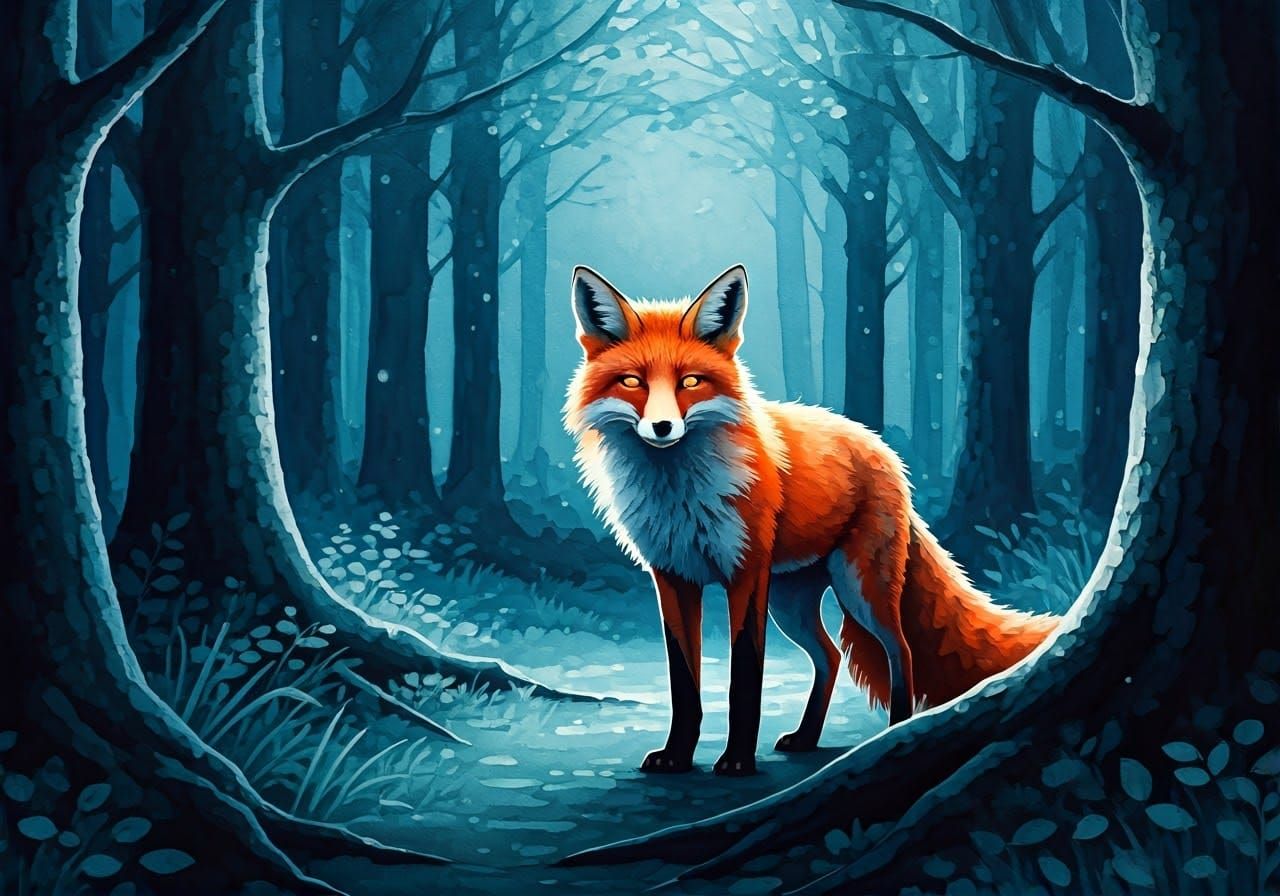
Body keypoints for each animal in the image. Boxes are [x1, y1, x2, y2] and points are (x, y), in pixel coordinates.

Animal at [564, 263, 1058, 776]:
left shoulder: (746, 574)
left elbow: (745, 677)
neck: (678, 493)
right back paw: (805, 737)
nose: (663, 428)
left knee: (899, 650)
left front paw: (737, 760)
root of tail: (878, 446)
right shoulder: (673, 578)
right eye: (632, 382)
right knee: (831, 656)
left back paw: (891, 733)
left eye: (691, 382)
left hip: (859, 588)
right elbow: (684, 684)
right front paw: (678, 755)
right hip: (790, 604)